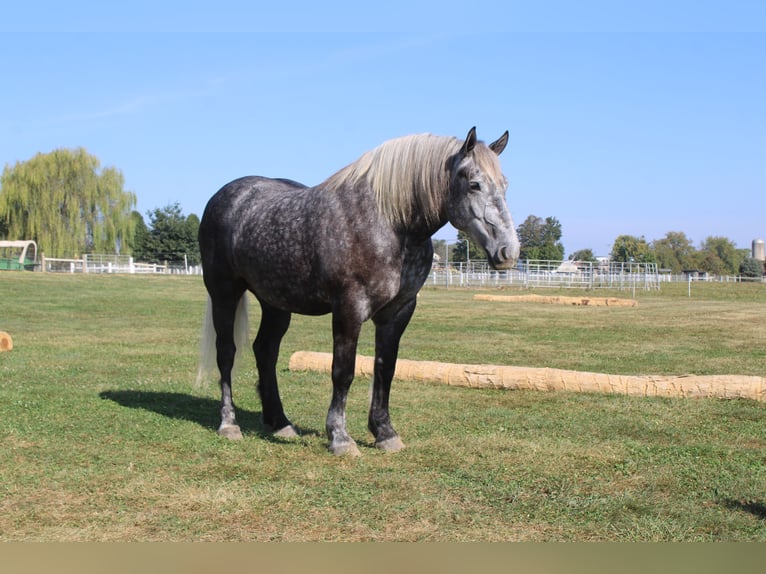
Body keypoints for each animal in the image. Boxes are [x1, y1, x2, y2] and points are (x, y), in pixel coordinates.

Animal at [198, 127, 519, 456]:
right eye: (474, 184)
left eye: (505, 184)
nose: (508, 252)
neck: (389, 223)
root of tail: (226, 197)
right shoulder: (349, 308)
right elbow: (343, 371)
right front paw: (340, 437)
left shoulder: (398, 312)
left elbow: (385, 369)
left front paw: (385, 433)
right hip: (224, 294)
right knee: (227, 352)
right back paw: (229, 424)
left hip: (276, 303)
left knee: (265, 351)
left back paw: (281, 423)